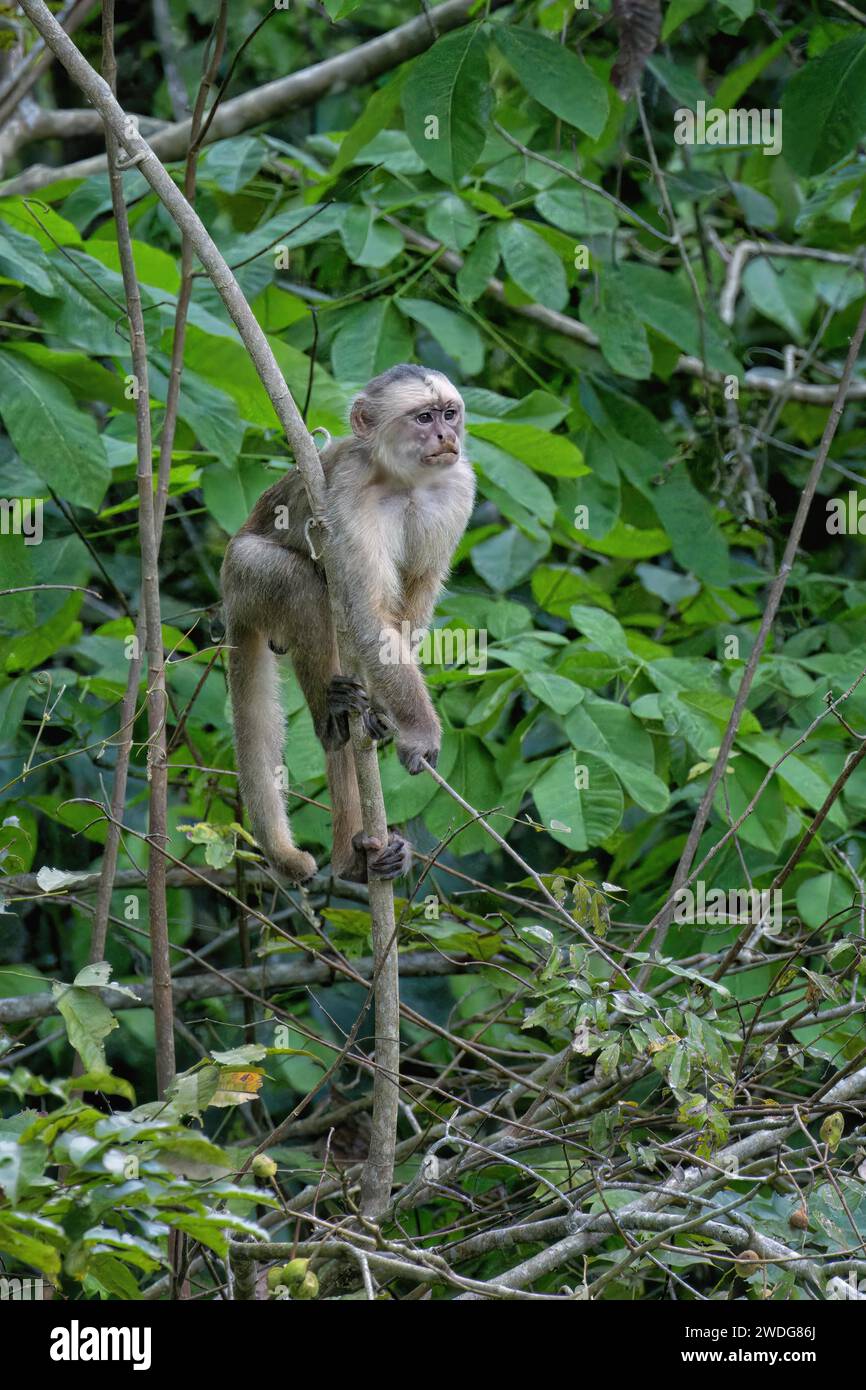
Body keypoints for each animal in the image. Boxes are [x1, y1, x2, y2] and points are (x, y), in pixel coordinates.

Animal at [216, 364, 475, 884]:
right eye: (423, 417)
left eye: (449, 413)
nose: (446, 436)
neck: (404, 482)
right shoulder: (352, 490)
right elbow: (366, 611)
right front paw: (420, 729)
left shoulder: (458, 488)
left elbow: (408, 608)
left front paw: (385, 713)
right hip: (243, 575)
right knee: (305, 588)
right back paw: (331, 719)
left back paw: (358, 856)